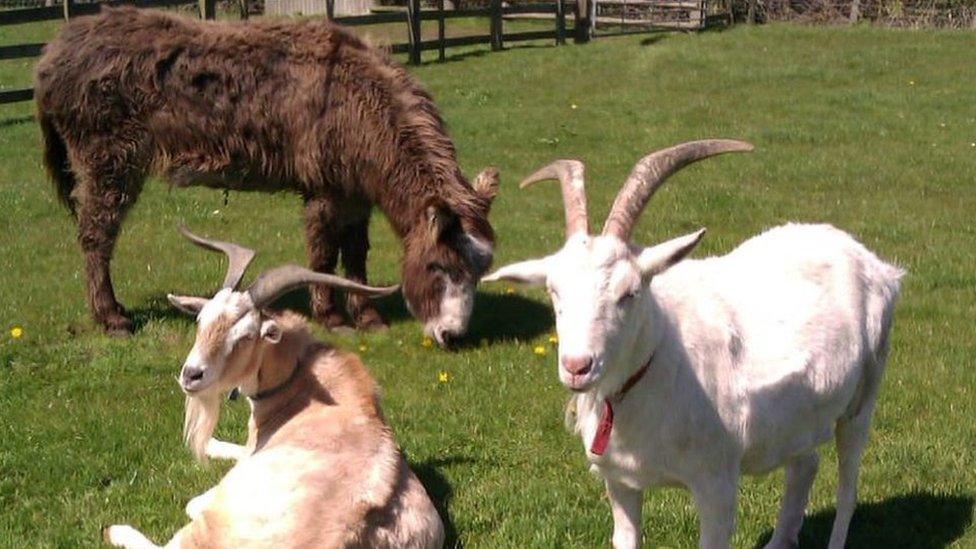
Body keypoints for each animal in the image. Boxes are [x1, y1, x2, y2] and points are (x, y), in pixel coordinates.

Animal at [101, 227, 444, 548]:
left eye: (246, 336)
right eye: (201, 320)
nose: (191, 375)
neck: (301, 382)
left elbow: (195, 499)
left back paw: (117, 530)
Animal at [484, 139, 904, 544]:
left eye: (630, 292)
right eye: (554, 291)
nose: (577, 366)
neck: (662, 359)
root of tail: (873, 261)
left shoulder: (716, 481)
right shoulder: (619, 482)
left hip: (863, 397)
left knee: (848, 486)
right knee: (806, 463)